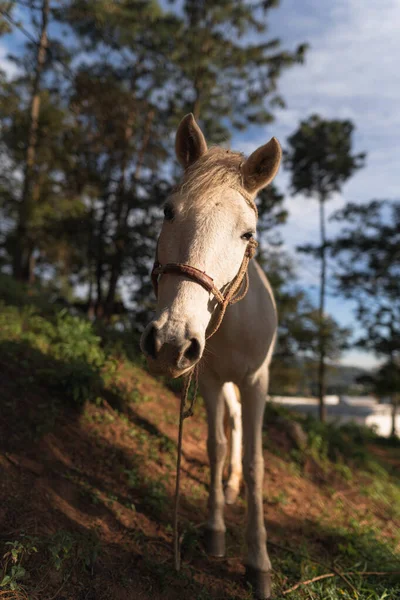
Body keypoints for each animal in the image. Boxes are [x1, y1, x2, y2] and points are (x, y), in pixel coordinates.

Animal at [141, 113, 282, 600]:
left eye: (247, 233)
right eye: (168, 211)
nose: (169, 342)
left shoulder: (258, 382)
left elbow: (258, 464)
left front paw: (258, 563)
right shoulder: (209, 379)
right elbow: (216, 446)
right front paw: (215, 531)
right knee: (232, 424)